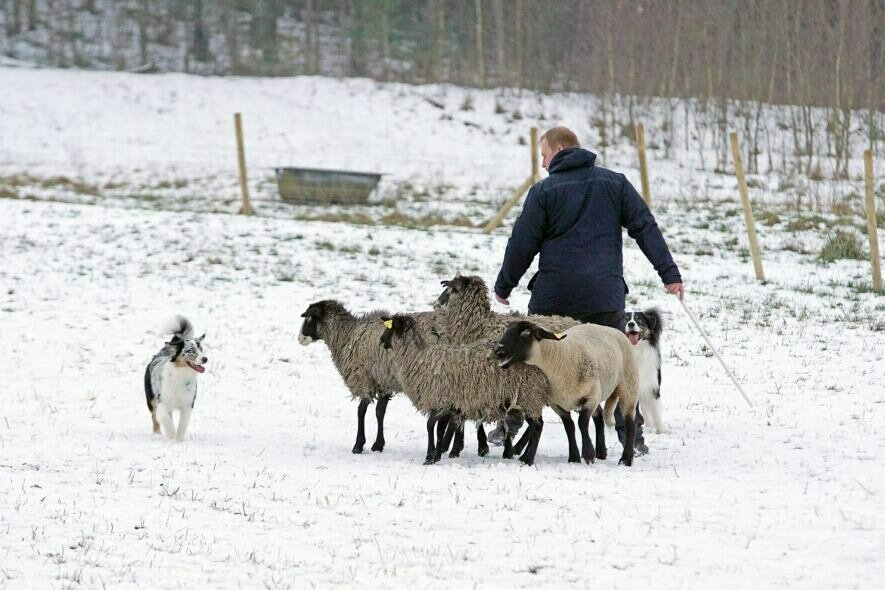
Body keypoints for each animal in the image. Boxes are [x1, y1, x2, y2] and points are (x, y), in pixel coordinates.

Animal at [378, 314, 544, 468]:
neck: (418, 357)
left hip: (527, 396)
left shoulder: (439, 400)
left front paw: (429, 457)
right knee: (534, 425)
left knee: (537, 426)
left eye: (389, 328)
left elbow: (430, 426)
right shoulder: (446, 404)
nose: (381, 340)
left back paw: (528, 459)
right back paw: (517, 455)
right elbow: (440, 429)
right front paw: (437, 455)